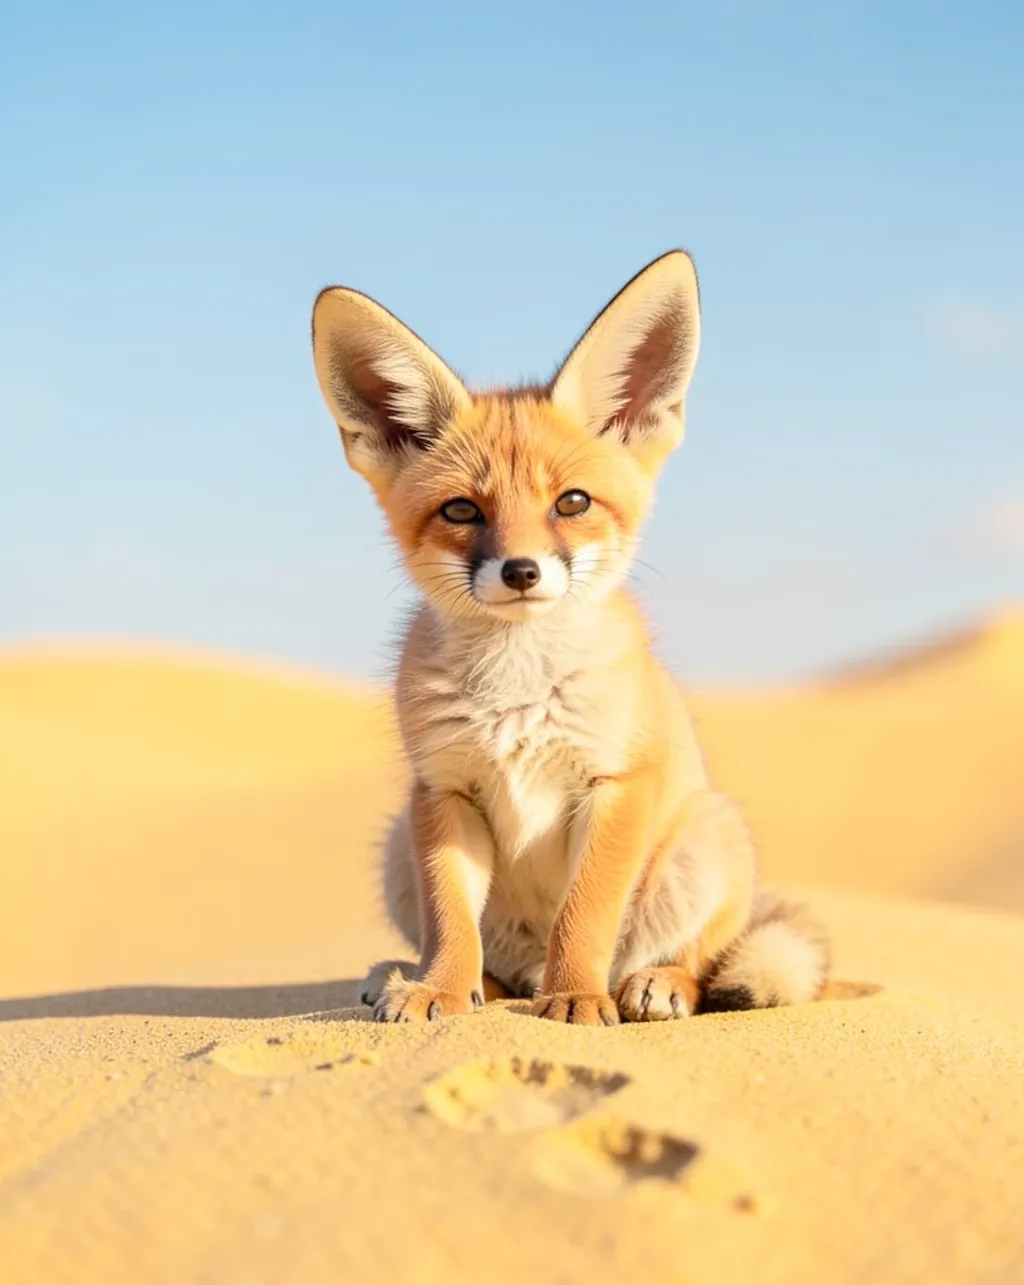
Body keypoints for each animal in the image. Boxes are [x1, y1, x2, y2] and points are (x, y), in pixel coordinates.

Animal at [310, 249, 829, 1026]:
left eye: (572, 502)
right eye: (461, 510)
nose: (521, 571)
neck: (518, 692)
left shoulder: (612, 784)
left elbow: (584, 914)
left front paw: (577, 997)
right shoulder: (445, 790)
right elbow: (451, 920)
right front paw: (440, 990)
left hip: (708, 840)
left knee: (700, 961)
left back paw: (652, 984)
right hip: (398, 843)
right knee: (493, 967)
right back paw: (443, 981)